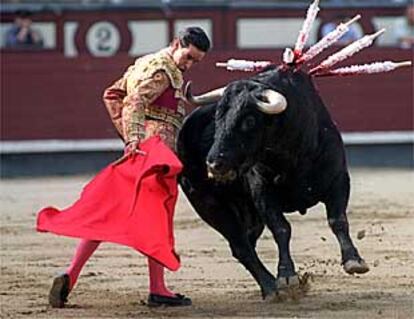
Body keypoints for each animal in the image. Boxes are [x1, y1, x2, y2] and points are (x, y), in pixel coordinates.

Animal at [176, 66, 370, 302]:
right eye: (218, 117)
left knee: (248, 240)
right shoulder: (263, 193)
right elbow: (281, 228)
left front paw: (354, 260)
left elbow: (338, 220)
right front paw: (286, 276)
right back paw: (270, 286)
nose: (213, 163)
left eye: (249, 120)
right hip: (208, 204)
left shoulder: (338, 181)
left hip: (249, 214)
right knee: (240, 245)